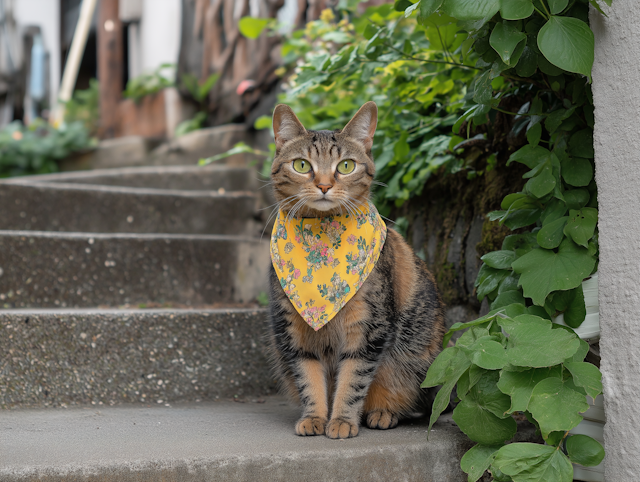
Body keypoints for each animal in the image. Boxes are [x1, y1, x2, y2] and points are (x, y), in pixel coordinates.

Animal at [266, 102, 444, 440]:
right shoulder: (294, 330)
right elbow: (309, 379)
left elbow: (353, 380)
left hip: (414, 354)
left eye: (346, 166)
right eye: (301, 165)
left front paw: (342, 421)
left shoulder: (368, 327)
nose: (324, 185)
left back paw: (383, 413)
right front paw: (315, 417)